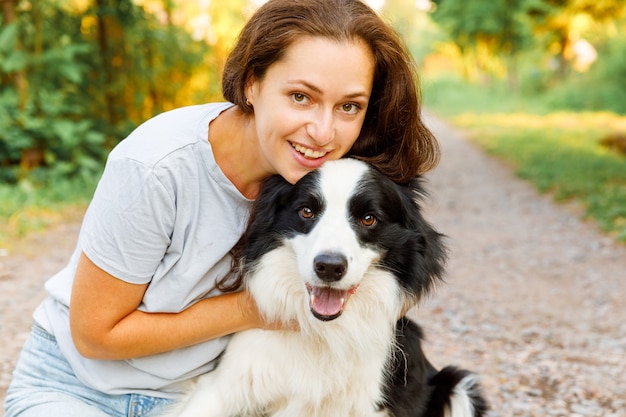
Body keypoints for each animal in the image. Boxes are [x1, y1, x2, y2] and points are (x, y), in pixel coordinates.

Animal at [162, 157, 488, 416]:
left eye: (368, 218)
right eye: (306, 211)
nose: (329, 267)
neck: (322, 333)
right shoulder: (226, 385)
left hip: (458, 386)